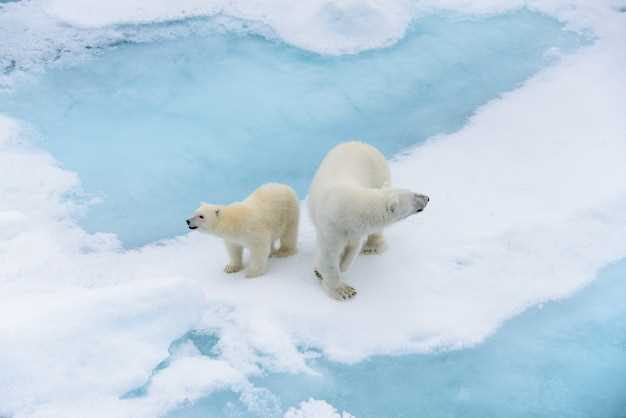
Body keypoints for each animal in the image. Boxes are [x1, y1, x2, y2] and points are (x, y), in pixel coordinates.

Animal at [308, 143, 428, 300]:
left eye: (412, 191)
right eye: (413, 196)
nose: (427, 198)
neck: (349, 208)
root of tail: (362, 143)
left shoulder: (353, 229)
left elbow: (352, 248)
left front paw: (342, 266)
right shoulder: (332, 226)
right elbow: (329, 255)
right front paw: (342, 290)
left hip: (380, 173)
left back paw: (372, 247)